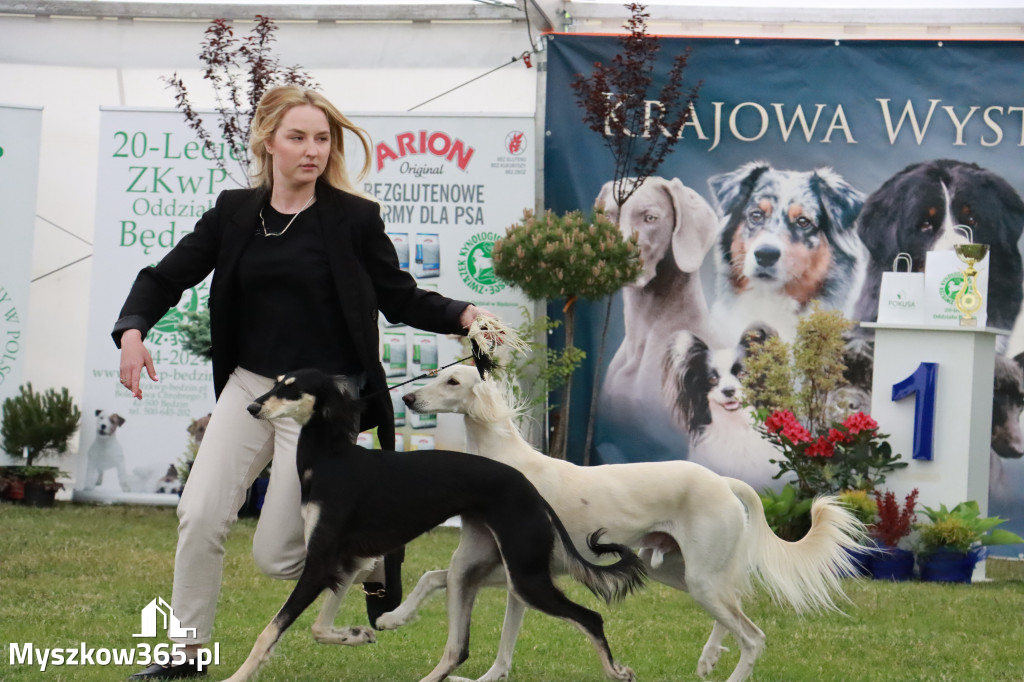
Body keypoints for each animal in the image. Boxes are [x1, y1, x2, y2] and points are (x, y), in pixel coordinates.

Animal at [227, 368, 643, 679]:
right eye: (275, 383)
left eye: (292, 389)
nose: (251, 406)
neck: (331, 458)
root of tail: (530, 489)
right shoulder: (347, 561)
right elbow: (318, 627)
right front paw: (356, 634)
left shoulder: (320, 561)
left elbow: (271, 631)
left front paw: (238, 676)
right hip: (476, 571)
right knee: (459, 648)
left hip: (526, 579)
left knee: (590, 617)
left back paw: (616, 670)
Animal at [387, 364, 868, 679]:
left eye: (451, 381)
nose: (408, 398)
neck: (507, 461)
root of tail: (722, 480)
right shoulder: (513, 578)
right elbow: (443, 587)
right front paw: (395, 618)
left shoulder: (520, 574)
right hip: (683, 572)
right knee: (736, 606)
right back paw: (709, 657)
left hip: (700, 579)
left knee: (753, 638)